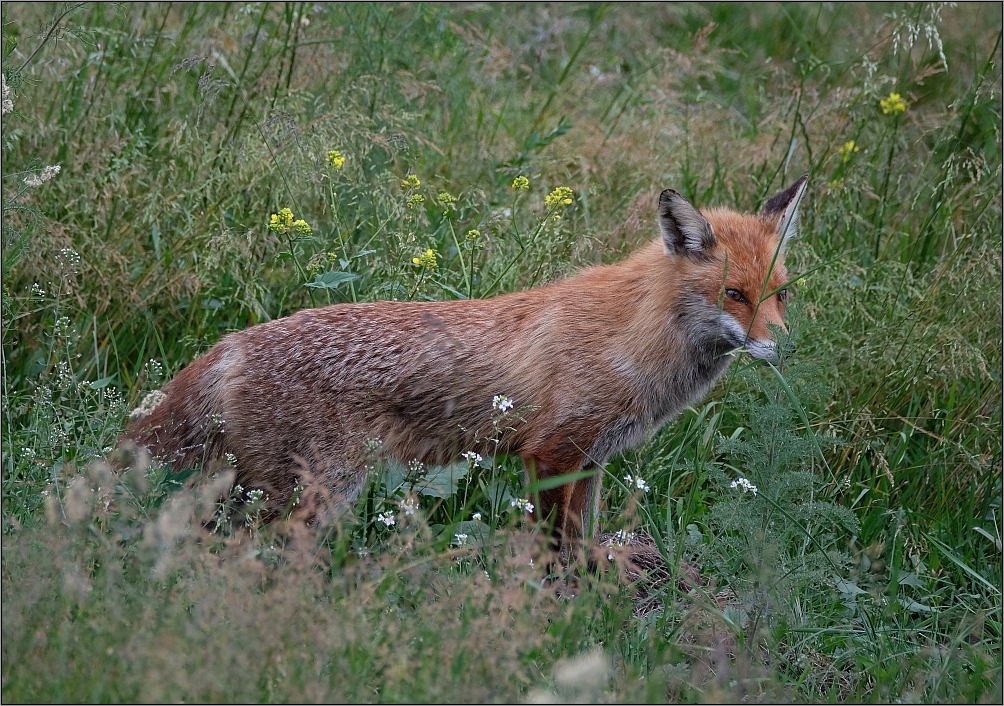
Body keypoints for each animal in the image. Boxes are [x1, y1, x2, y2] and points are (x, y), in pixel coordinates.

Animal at [125, 176, 807, 542]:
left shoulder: (591, 461)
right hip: (317, 495)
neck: (634, 336)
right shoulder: (553, 452)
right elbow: (556, 552)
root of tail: (230, 344)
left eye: (781, 292)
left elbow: (583, 543)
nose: (788, 345)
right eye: (734, 294)